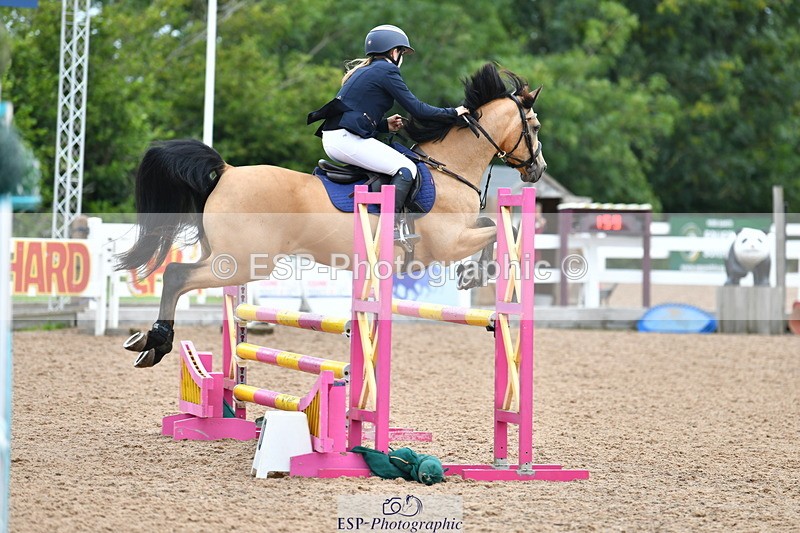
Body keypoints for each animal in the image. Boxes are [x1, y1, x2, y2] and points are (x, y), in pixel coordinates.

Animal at [117, 63, 546, 368]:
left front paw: (477, 272)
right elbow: (495, 229)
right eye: (535, 125)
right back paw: (156, 342)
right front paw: (476, 273)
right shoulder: (448, 243)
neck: (447, 169)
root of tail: (227, 171)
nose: (537, 170)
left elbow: (493, 225)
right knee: (177, 275)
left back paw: (151, 343)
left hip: (227, 257)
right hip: (241, 262)